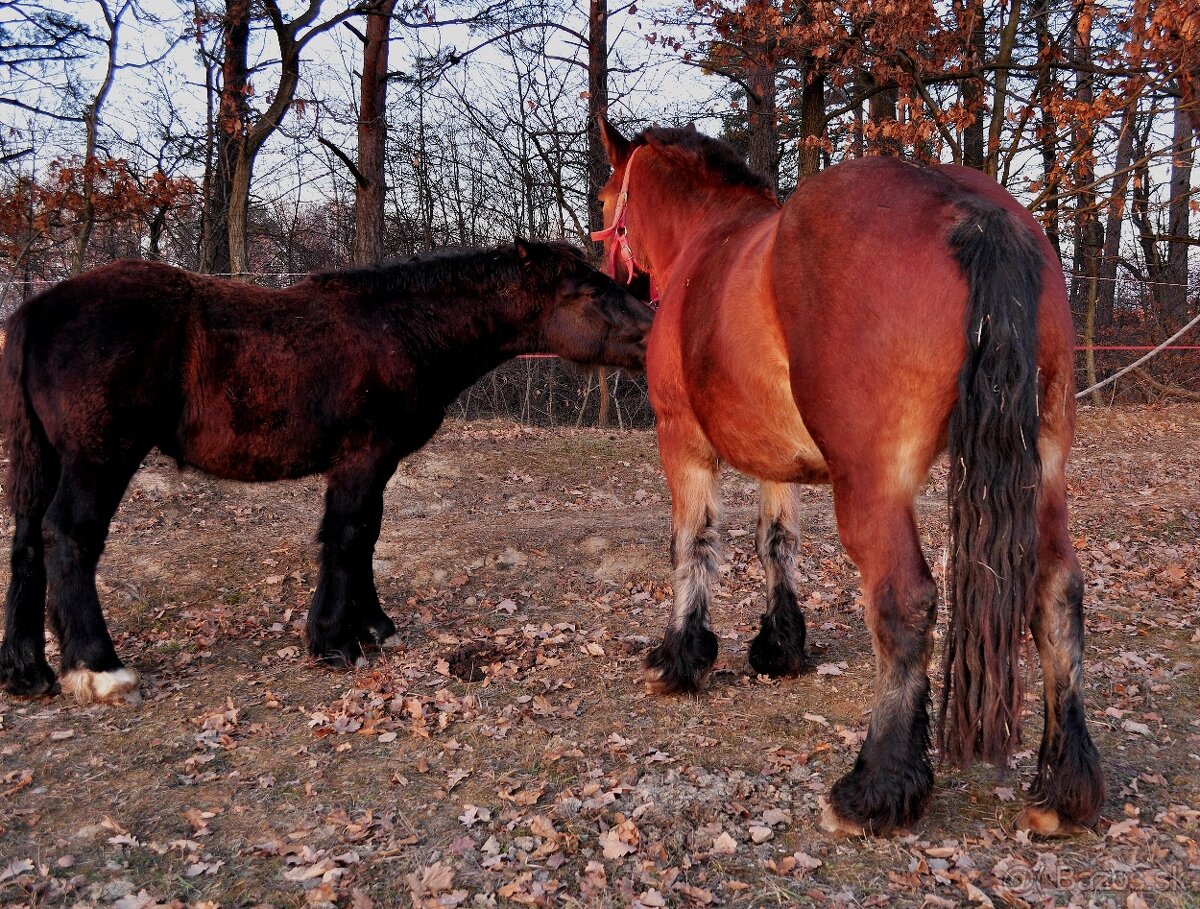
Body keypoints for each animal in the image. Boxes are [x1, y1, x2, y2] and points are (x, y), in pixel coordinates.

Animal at [0, 243, 652, 709]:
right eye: (590, 291)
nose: (656, 330)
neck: (402, 329)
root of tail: (39, 309)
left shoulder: (372, 465)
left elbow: (364, 539)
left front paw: (372, 627)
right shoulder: (362, 459)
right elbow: (349, 536)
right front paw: (335, 640)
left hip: (45, 460)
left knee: (28, 543)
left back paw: (28, 671)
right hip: (101, 457)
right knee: (68, 536)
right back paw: (99, 668)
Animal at [592, 122, 1104, 839]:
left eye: (605, 197)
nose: (620, 285)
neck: (707, 245)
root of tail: (972, 210)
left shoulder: (682, 442)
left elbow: (692, 546)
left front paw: (680, 657)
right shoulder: (779, 463)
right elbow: (776, 543)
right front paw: (780, 646)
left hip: (873, 486)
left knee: (905, 601)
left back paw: (876, 788)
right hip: (1046, 470)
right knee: (1057, 592)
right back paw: (1065, 787)